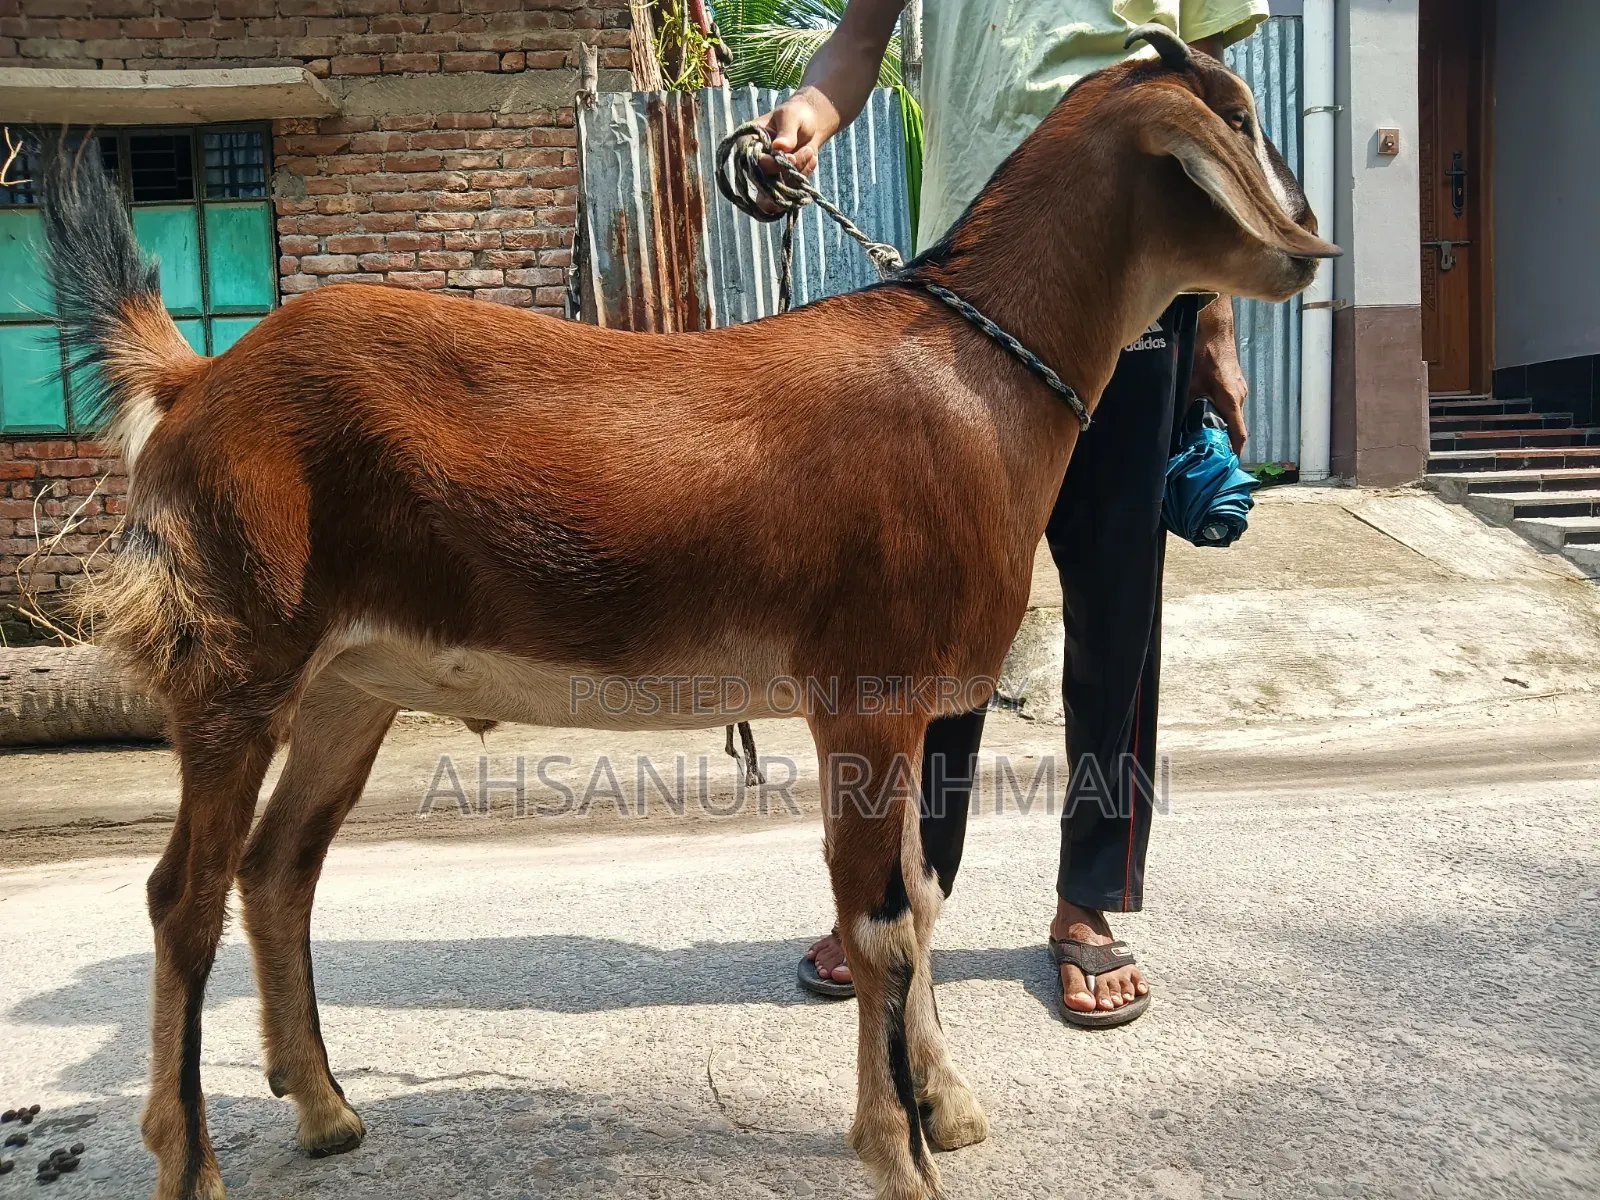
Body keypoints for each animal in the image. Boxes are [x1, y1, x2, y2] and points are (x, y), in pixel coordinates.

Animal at [40, 26, 1335, 1200]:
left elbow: (918, 898)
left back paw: (322, 1107)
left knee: (277, 869)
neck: (975, 380)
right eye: (1239, 120)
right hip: (238, 654)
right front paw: (900, 1156)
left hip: (349, 681)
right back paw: (192, 1164)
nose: (1309, 253)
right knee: (183, 897)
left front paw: (948, 1108)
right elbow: (880, 924)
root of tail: (195, 382)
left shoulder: (912, 709)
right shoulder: (863, 696)